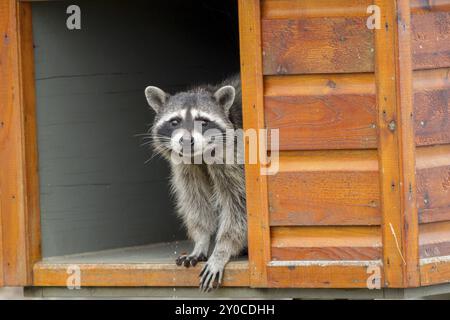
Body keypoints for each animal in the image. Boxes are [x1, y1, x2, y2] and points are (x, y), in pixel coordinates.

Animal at [144, 74, 246, 290]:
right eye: (175, 122)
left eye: (203, 122)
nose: (186, 141)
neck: (199, 156)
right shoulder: (185, 167)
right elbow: (196, 201)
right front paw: (201, 240)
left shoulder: (236, 159)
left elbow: (238, 206)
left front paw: (222, 250)